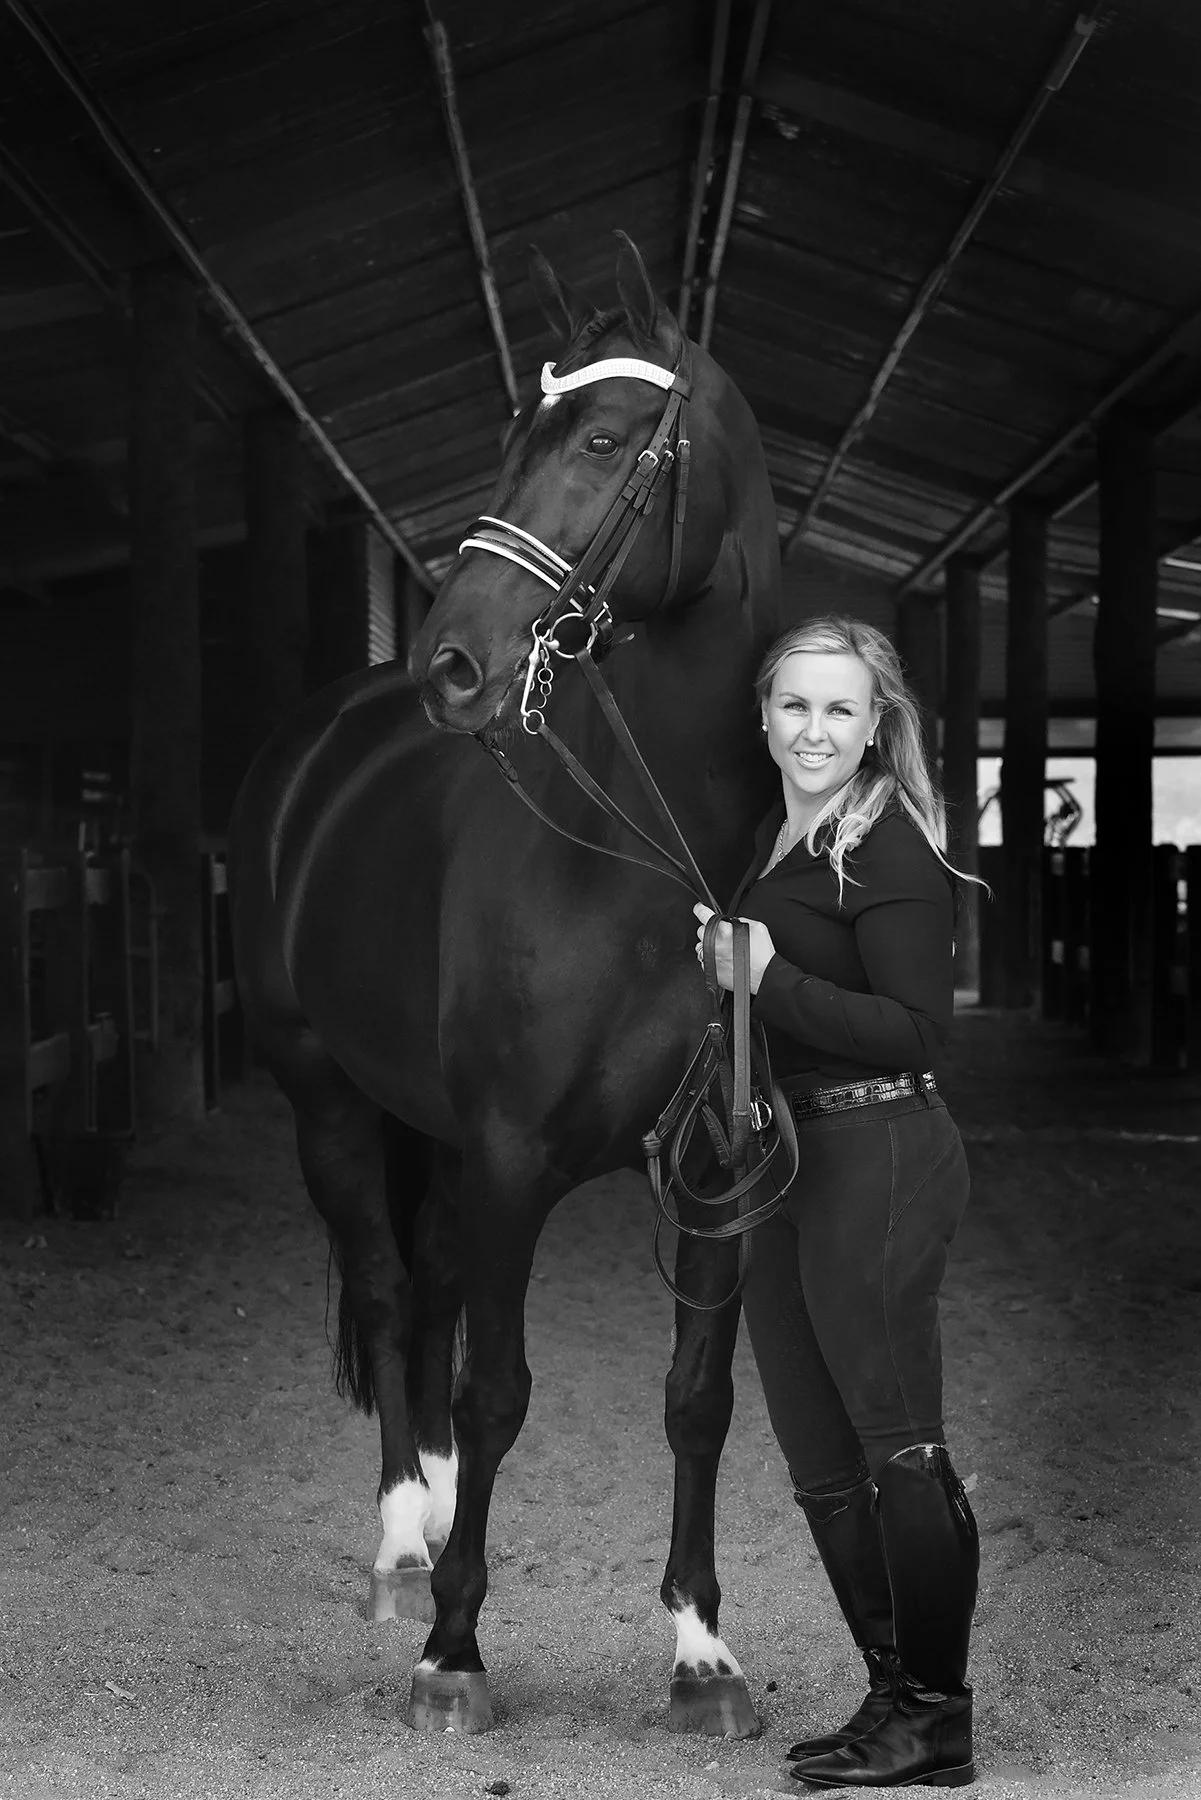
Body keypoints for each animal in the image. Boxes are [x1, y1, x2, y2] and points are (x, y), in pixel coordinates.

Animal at [228, 233, 785, 1738]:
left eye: (603, 439)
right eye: (508, 447)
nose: (455, 664)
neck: (645, 859)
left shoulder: (712, 1171)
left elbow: (696, 1396)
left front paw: (699, 1650)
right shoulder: (508, 1158)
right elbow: (498, 1395)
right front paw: (457, 1652)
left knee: (420, 1291)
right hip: (330, 1104)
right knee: (383, 1289)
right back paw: (405, 1548)